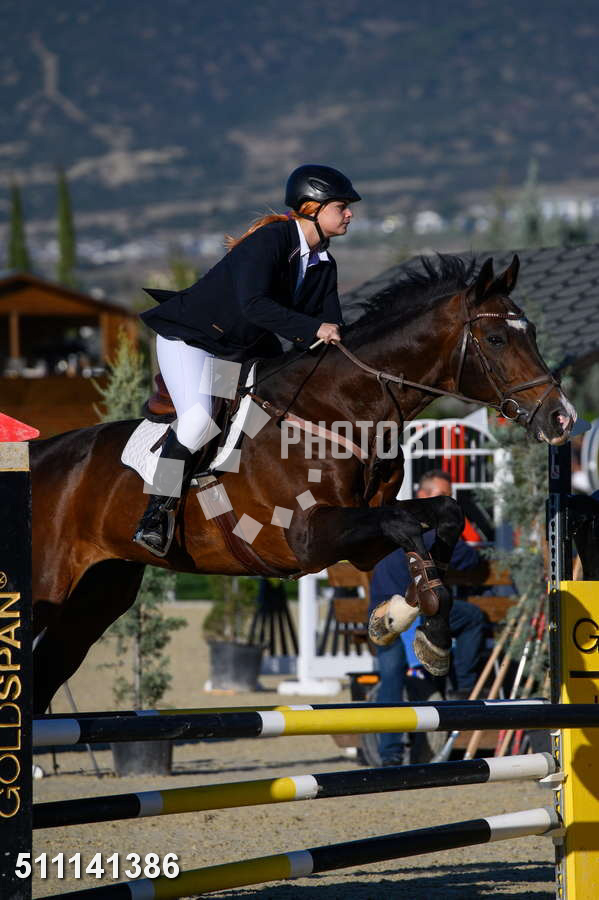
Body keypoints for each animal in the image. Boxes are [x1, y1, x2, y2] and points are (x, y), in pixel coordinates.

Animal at [30, 254, 575, 713]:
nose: (562, 418)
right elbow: (404, 522)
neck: (341, 410)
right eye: (497, 340)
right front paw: (410, 618)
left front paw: (408, 623)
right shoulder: (308, 537)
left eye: (530, 333)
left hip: (96, 597)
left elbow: (442, 514)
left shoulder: (361, 541)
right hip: (47, 588)